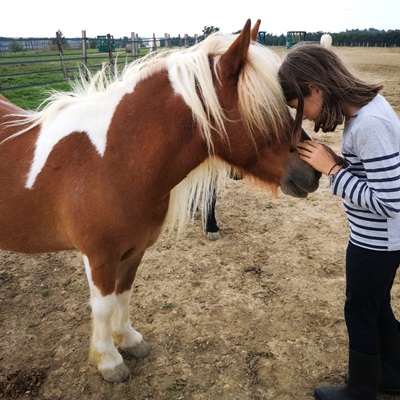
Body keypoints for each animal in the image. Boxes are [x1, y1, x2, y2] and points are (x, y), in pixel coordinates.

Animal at [0, 18, 320, 382]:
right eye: (266, 110)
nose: (313, 172)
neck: (110, 160)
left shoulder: (133, 251)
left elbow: (124, 294)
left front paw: (128, 339)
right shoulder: (99, 257)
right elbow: (103, 306)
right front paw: (109, 360)